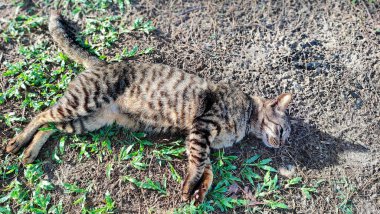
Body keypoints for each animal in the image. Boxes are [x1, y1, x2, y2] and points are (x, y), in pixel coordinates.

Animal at [4, 10, 292, 205]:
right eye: (281, 130)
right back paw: (18, 142)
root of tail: (101, 63)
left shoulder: (202, 139)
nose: (280, 145)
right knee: (42, 114)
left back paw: (30, 152)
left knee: (51, 126)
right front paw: (189, 187)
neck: (246, 115)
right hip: (82, 102)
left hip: (87, 121)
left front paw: (199, 193)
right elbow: (199, 165)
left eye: (285, 136)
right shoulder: (202, 128)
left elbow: (207, 171)